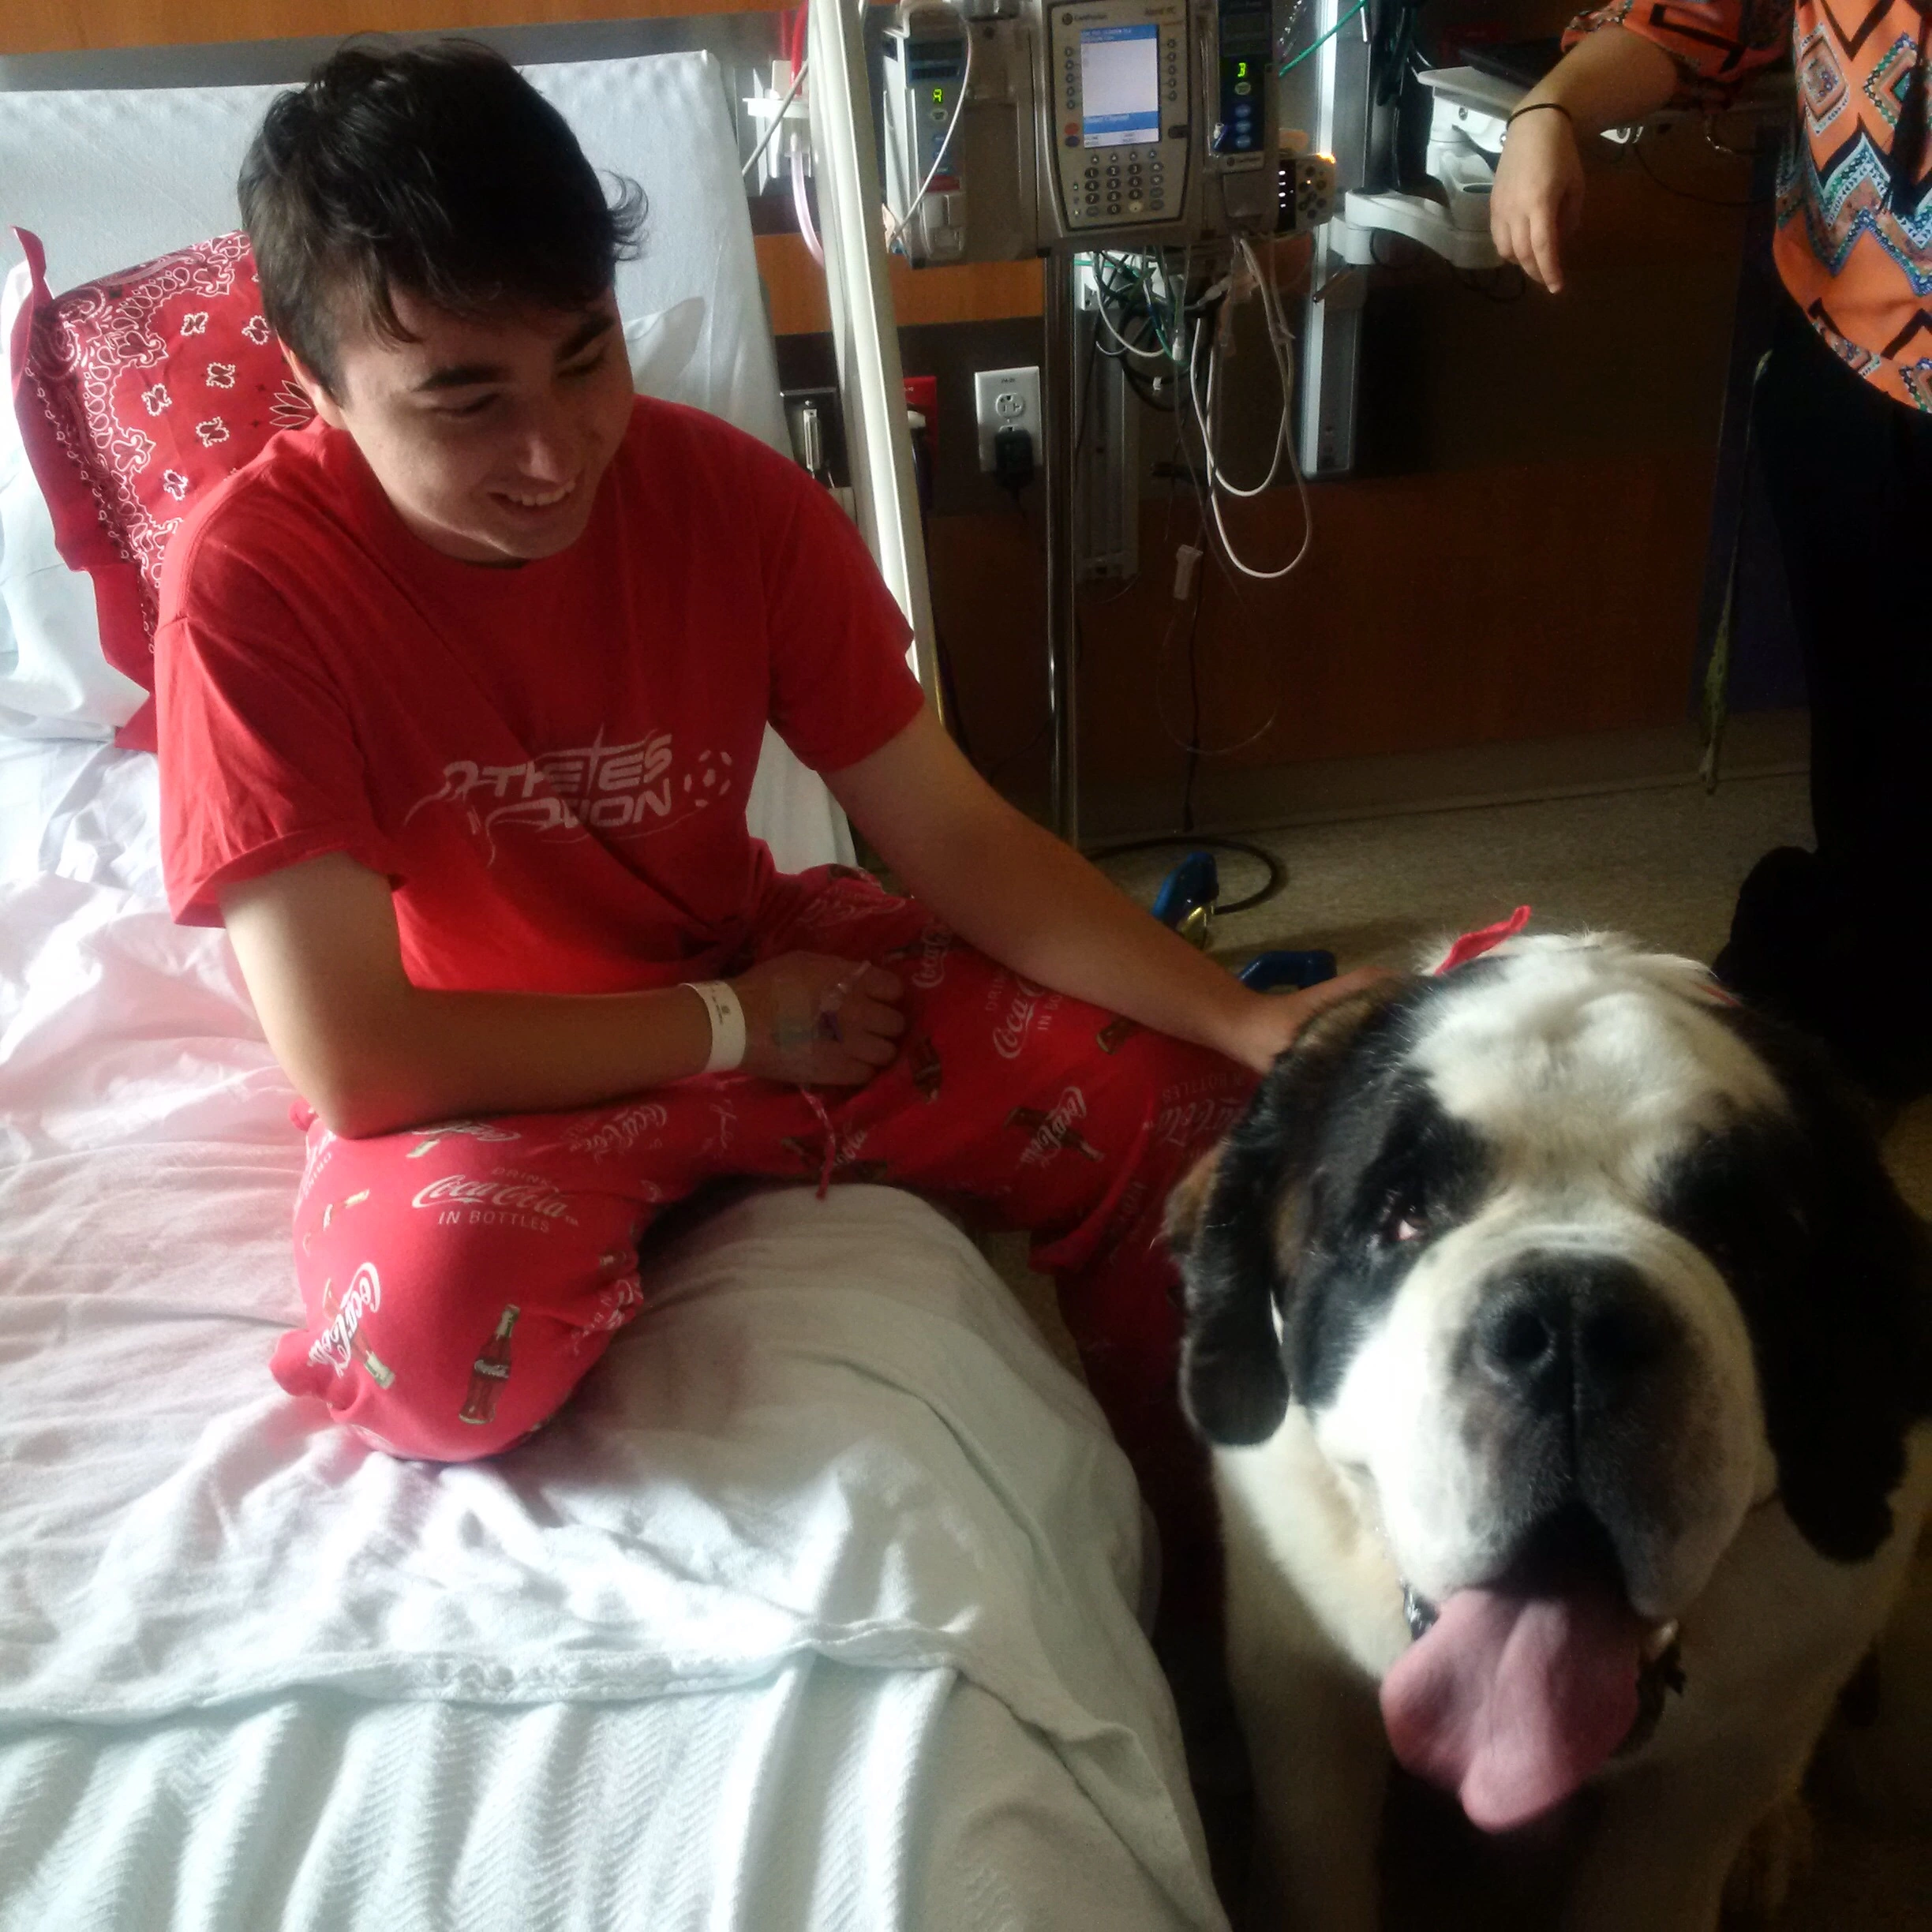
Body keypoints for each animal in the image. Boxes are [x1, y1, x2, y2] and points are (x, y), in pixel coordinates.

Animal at [1159, 927, 1932, 1924]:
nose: (1573, 1326)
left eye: (1739, 1242)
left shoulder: (1721, 1762)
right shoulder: (1297, 1686)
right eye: (1402, 1217)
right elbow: (1314, 1856)